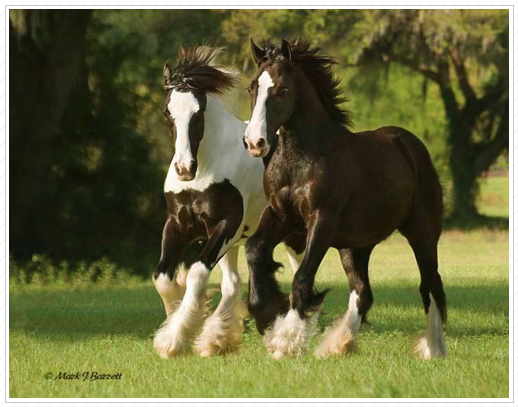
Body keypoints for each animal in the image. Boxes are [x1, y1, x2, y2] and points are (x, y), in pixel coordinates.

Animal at [153, 46, 304, 358]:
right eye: (167, 111)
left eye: (199, 112)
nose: (184, 168)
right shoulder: (177, 225)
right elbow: (162, 278)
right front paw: (176, 328)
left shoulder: (225, 226)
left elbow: (197, 274)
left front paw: (174, 339)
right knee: (233, 284)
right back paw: (217, 339)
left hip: (293, 236)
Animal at [244, 39, 446, 360]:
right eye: (252, 87)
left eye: (283, 90)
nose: (255, 142)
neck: (302, 159)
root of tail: (412, 146)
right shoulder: (280, 215)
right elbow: (253, 251)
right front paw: (267, 317)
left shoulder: (322, 220)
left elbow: (302, 278)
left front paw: (286, 340)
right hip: (355, 246)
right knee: (363, 292)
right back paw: (336, 345)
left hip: (422, 233)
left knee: (430, 284)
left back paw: (433, 349)